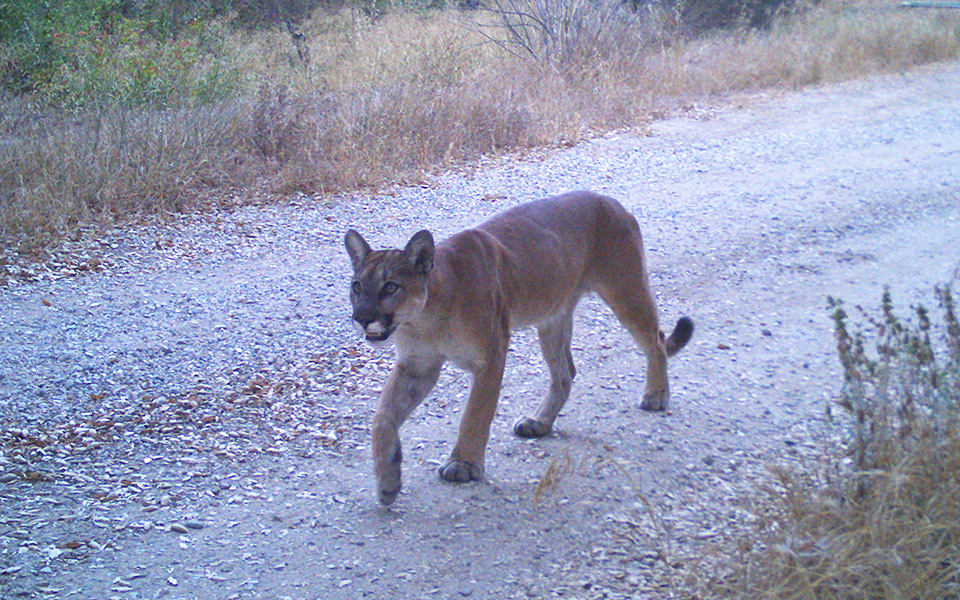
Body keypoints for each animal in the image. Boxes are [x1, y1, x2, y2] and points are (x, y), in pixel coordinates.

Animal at [348, 190, 692, 504]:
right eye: (356, 287)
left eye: (390, 287)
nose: (361, 318)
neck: (425, 318)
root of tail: (612, 201)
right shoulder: (417, 366)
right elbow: (383, 417)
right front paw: (388, 479)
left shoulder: (491, 356)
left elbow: (476, 413)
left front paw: (463, 464)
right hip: (553, 319)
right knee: (565, 373)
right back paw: (539, 423)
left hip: (626, 290)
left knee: (656, 340)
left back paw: (656, 395)